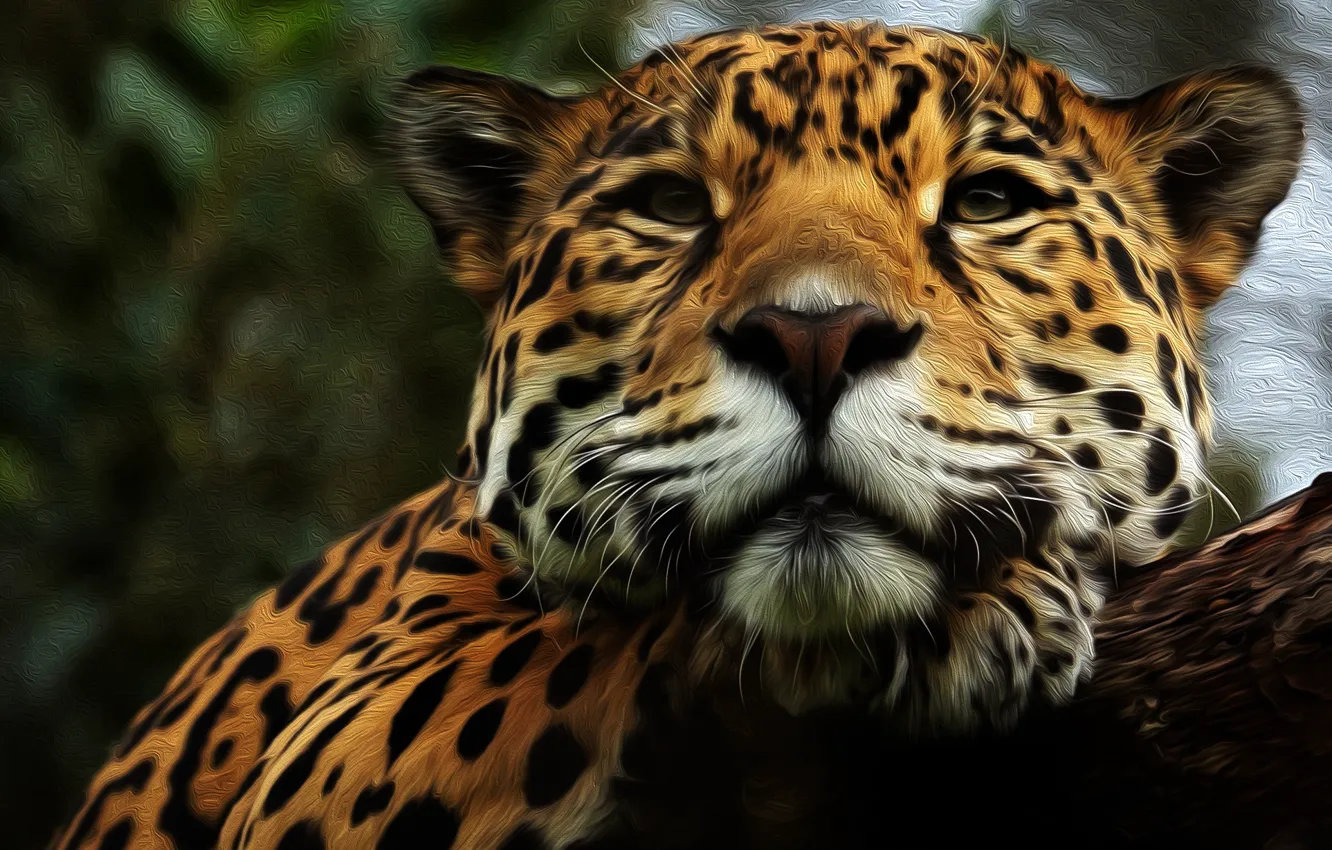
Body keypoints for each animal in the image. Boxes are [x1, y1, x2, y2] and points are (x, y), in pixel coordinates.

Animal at [51, 19, 1304, 850]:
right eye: (668, 205)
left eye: (988, 203)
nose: (815, 334)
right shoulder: (329, 747)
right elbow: (578, 646)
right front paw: (954, 612)